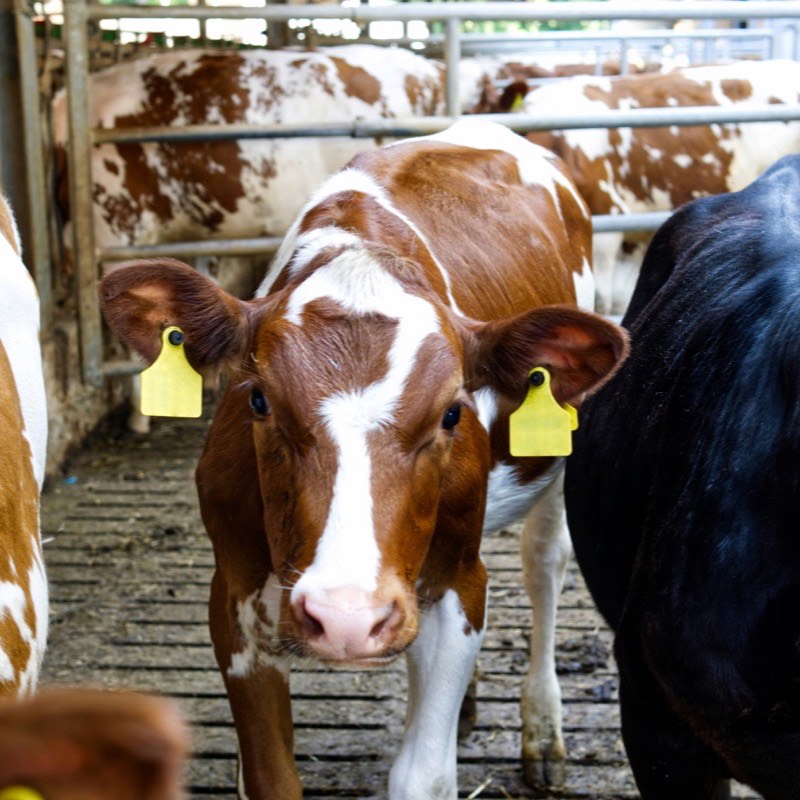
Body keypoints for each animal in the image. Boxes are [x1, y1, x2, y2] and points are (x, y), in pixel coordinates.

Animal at [99, 118, 628, 799]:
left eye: (452, 413)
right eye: (258, 399)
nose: (346, 618)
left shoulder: (459, 584)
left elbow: (421, 776)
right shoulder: (234, 596)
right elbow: (270, 775)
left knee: (544, 565)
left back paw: (542, 730)